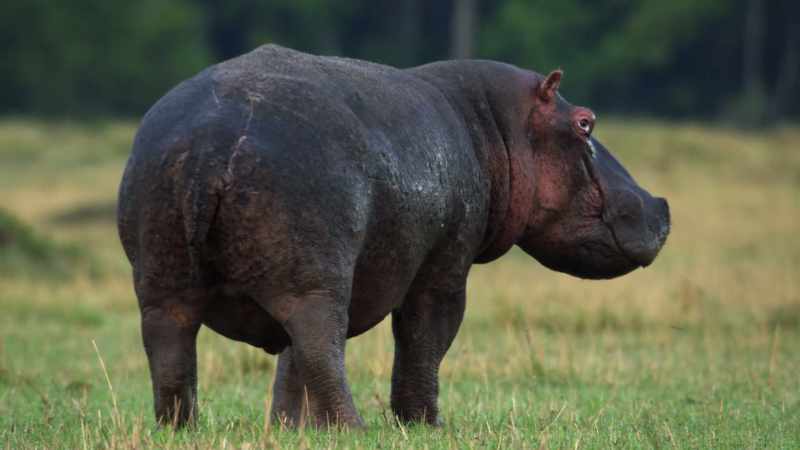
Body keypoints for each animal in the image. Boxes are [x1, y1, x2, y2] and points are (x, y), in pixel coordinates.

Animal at [117, 44, 669, 428]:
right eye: (585, 123)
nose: (660, 205)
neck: (493, 124)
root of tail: (212, 140)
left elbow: (290, 368)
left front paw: (291, 428)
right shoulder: (444, 267)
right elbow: (426, 338)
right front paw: (427, 425)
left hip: (169, 277)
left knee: (173, 347)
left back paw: (180, 428)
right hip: (313, 278)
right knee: (321, 341)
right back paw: (355, 427)